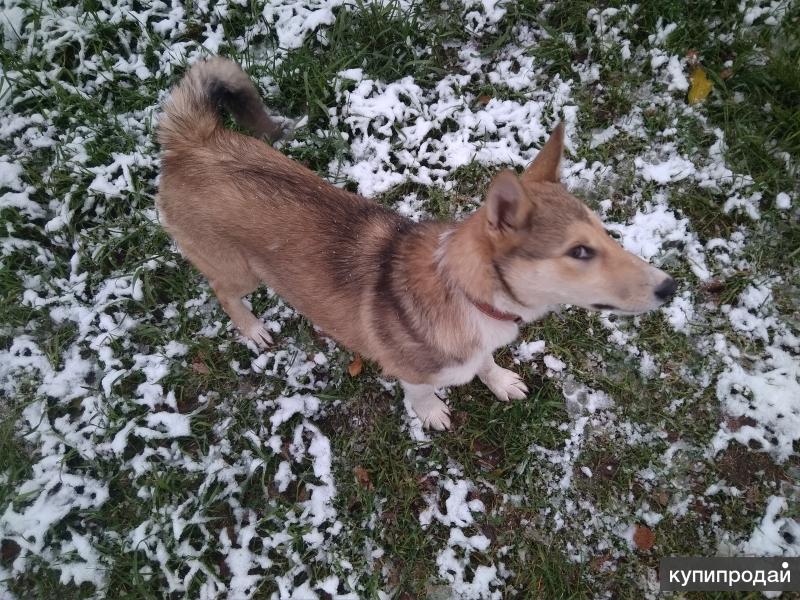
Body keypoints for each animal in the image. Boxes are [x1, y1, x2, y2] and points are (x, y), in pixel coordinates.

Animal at [156, 57, 676, 432]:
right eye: (579, 252)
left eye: (605, 233)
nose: (670, 287)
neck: (467, 294)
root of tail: (190, 143)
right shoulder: (413, 371)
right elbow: (423, 392)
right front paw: (431, 414)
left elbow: (487, 362)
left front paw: (499, 380)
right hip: (238, 270)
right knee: (224, 293)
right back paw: (252, 328)